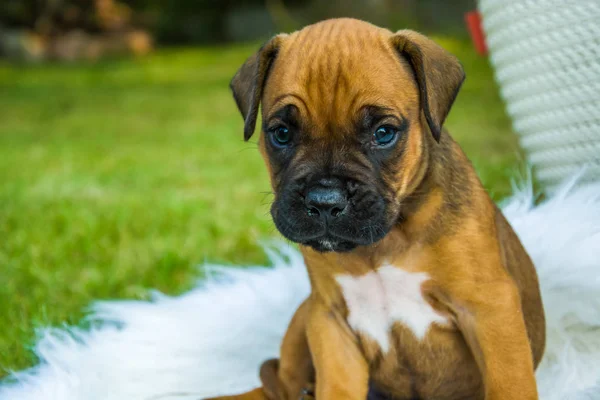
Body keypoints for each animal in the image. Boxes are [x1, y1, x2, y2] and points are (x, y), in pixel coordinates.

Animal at [212, 18, 548, 400]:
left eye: (384, 133)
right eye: (281, 134)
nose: (325, 200)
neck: (386, 240)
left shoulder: (489, 308)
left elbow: (510, 384)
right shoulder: (329, 318)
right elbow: (337, 388)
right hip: (303, 316)